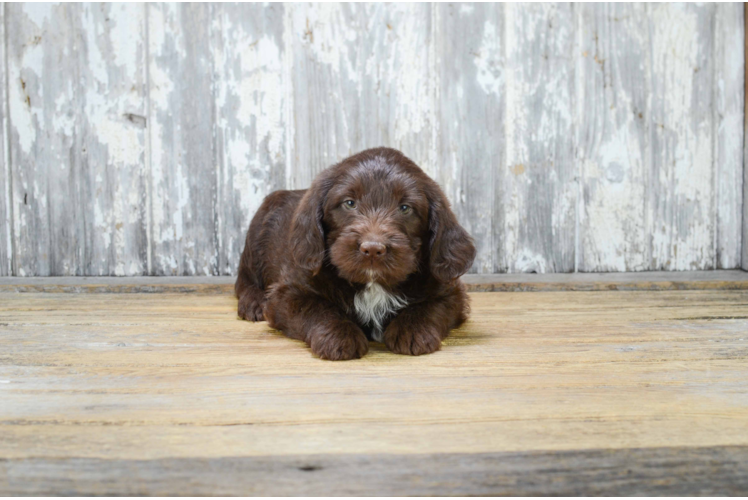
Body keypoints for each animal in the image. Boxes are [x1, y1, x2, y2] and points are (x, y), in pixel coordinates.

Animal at [237, 147, 476, 360]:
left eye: (405, 208)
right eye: (349, 203)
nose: (373, 249)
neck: (372, 284)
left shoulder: (450, 291)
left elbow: (430, 306)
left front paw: (413, 329)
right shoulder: (289, 292)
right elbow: (316, 307)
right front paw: (339, 335)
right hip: (256, 235)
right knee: (244, 278)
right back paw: (253, 302)